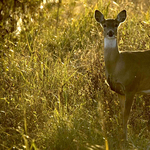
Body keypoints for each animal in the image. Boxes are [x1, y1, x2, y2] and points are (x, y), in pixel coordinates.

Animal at [94, 9, 150, 141]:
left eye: (116, 24)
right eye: (104, 25)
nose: (110, 33)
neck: (117, 65)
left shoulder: (131, 87)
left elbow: (126, 115)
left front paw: (126, 139)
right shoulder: (119, 91)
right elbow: (122, 113)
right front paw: (121, 136)